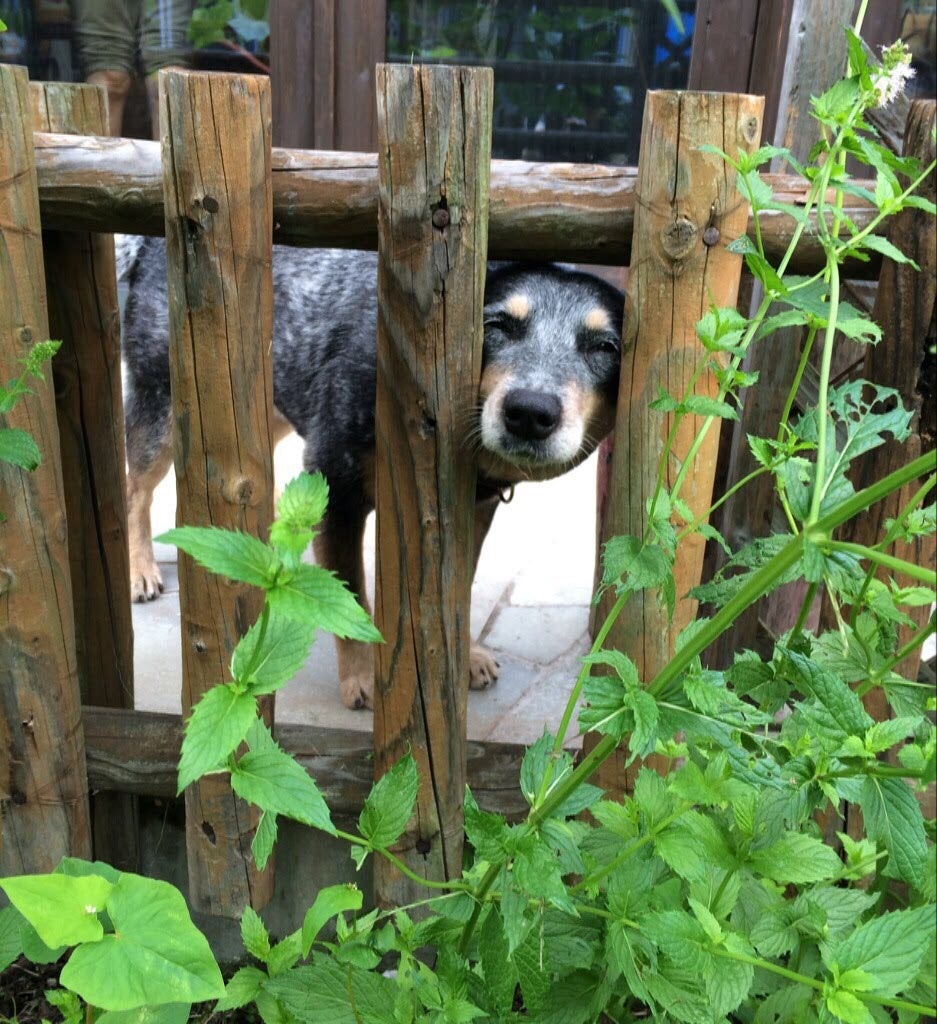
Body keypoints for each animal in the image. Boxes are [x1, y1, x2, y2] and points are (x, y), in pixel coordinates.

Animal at [119, 236, 630, 708]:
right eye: (497, 325)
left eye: (606, 347)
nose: (529, 411)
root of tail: (147, 244)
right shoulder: (337, 493)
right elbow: (350, 597)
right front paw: (364, 675)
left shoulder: (473, 509)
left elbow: (458, 589)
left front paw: (465, 654)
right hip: (164, 410)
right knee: (135, 490)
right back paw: (140, 569)